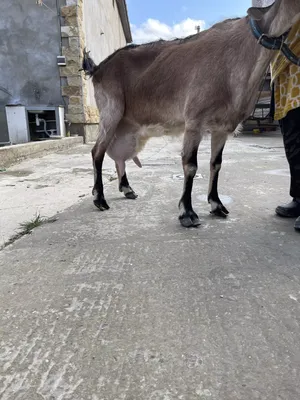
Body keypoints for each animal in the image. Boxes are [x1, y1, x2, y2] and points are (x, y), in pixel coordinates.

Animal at [81, 0, 300, 227]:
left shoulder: (221, 128)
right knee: (97, 151)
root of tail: (98, 69)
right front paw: (187, 212)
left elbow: (216, 164)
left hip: (127, 124)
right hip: (111, 112)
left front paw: (216, 205)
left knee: (119, 155)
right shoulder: (195, 121)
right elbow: (191, 165)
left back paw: (127, 189)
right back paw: (100, 199)